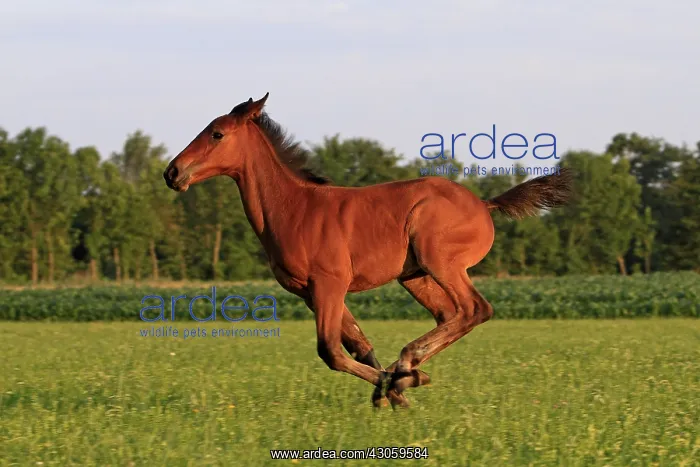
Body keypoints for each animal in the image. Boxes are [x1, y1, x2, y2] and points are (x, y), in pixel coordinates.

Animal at [163, 93, 573, 408]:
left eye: (217, 133)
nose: (172, 172)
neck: (294, 208)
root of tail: (484, 204)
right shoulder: (311, 293)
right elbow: (359, 344)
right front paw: (395, 390)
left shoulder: (330, 284)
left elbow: (330, 351)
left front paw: (397, 386)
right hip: (415, 276)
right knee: (449, 314)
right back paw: (408, 369)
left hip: (440, 261)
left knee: (475, 309)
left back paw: (408, 361)